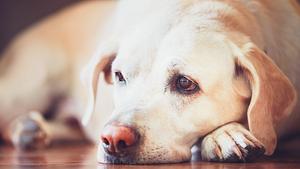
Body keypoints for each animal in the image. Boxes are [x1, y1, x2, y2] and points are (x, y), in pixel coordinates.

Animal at [0, 0, 300, 164]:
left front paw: (225, 133)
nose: (113, 139)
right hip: (25, 88)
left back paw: (31, 129)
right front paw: (225, 134)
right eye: (119, 76)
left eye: (185, 83)